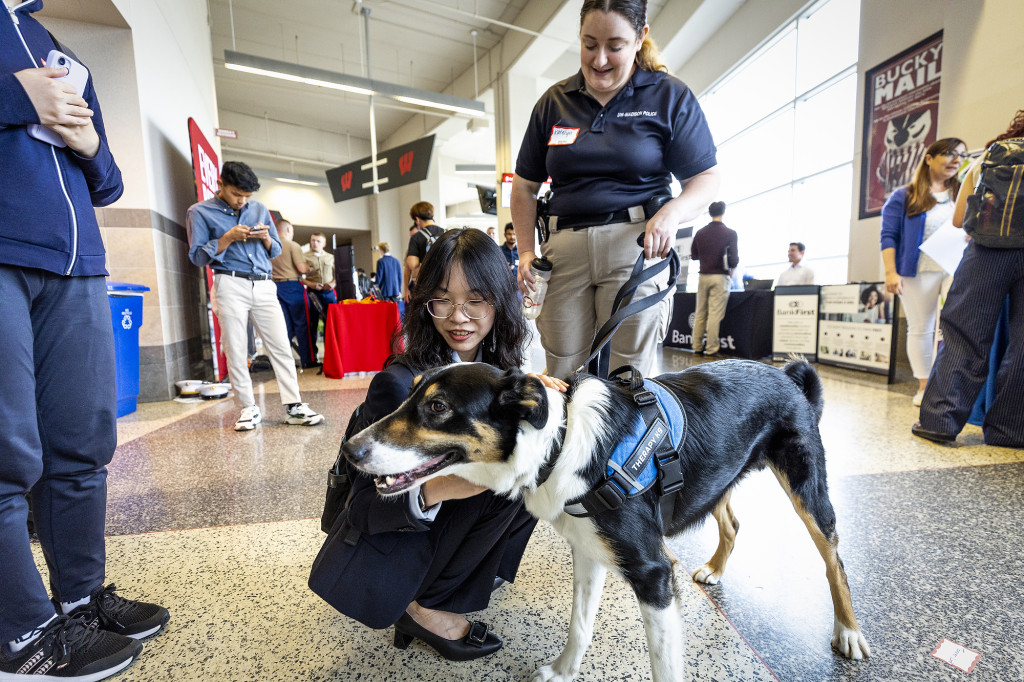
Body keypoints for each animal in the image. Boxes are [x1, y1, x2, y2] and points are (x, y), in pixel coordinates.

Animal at [346, 358, 872, 675]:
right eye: (409, 395)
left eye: (437, 407)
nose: (350, 450)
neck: (558, 445)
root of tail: (789, 374)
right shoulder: (589, 552)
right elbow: (580, 624)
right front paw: (563, 672)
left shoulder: (653, 573)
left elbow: (664, 665)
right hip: (720, 475)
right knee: (732, 522)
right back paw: (715, 568)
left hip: (807, 487)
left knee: (834, 559)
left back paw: (848, 632)